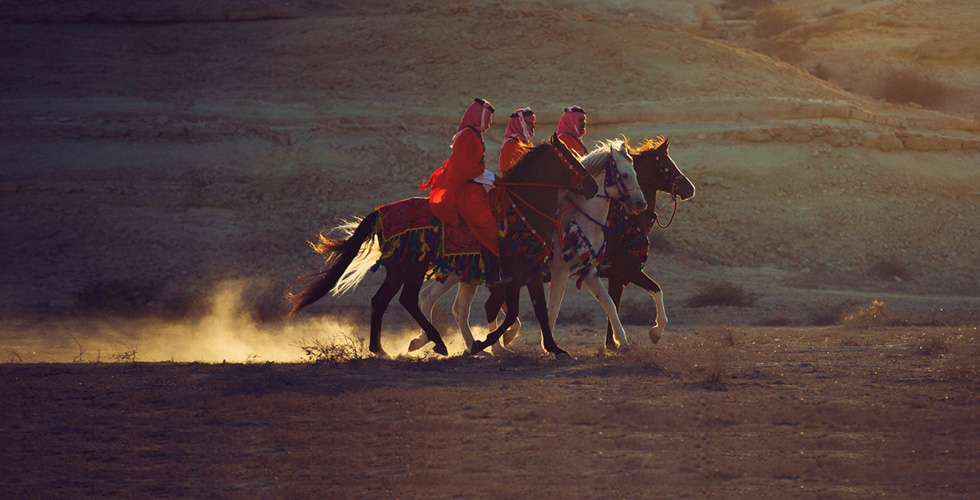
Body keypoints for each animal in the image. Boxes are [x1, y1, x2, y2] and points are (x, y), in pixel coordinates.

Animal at [288, 133, 596, 358]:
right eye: (570, 158)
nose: (592, 185)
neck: (521, 211)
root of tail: (382, 212)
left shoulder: (531, 274)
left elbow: (540, 311)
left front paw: (555, 348)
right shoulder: (514, 274)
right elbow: (512, 315)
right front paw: (483, 344)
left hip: (399, 269)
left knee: (381, 300)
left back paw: (381, 350)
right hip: (414, 267)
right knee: (409, 299)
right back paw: (436, 342)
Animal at [406, 139, 644, 354]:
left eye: (636, 171)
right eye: (624, 175)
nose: (641, 203)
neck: (579, 217)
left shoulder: (588, 272)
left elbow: (608, 303)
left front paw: (623, 342)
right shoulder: (558, 272)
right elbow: (552, 309)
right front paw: (545, 345)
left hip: (464, 274)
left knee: (454, 307)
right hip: (458, 273)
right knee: (433, 300)